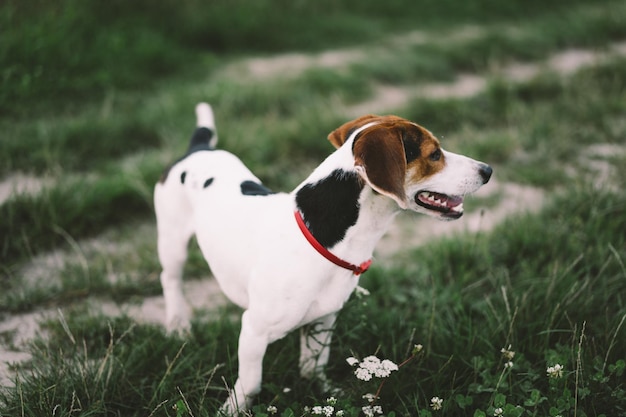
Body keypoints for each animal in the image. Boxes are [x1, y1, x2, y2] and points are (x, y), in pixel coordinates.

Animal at [154, 102, 490, 412]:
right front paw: (232, 410)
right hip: (172, 241)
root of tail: (199, 148)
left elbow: (312, 367)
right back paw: (177, 326)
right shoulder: (253, 330)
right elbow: (251, 384)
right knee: (170, 279)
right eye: (434, 154)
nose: (487, 170)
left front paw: (327, 394)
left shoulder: (323, 320)